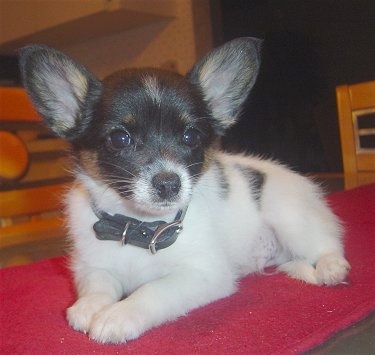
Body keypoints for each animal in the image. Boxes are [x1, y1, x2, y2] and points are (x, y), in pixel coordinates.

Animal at [19, 37, 350, 344]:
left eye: (191, 136)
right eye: (120, 139)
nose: (169, 183)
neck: (137, 227)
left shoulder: (203, 273)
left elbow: (155, 290)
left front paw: (119, 315)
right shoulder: (92, 265)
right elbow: (98, 284)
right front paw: (89, 306)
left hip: (291, 218)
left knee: (326, 244)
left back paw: (331, 267)